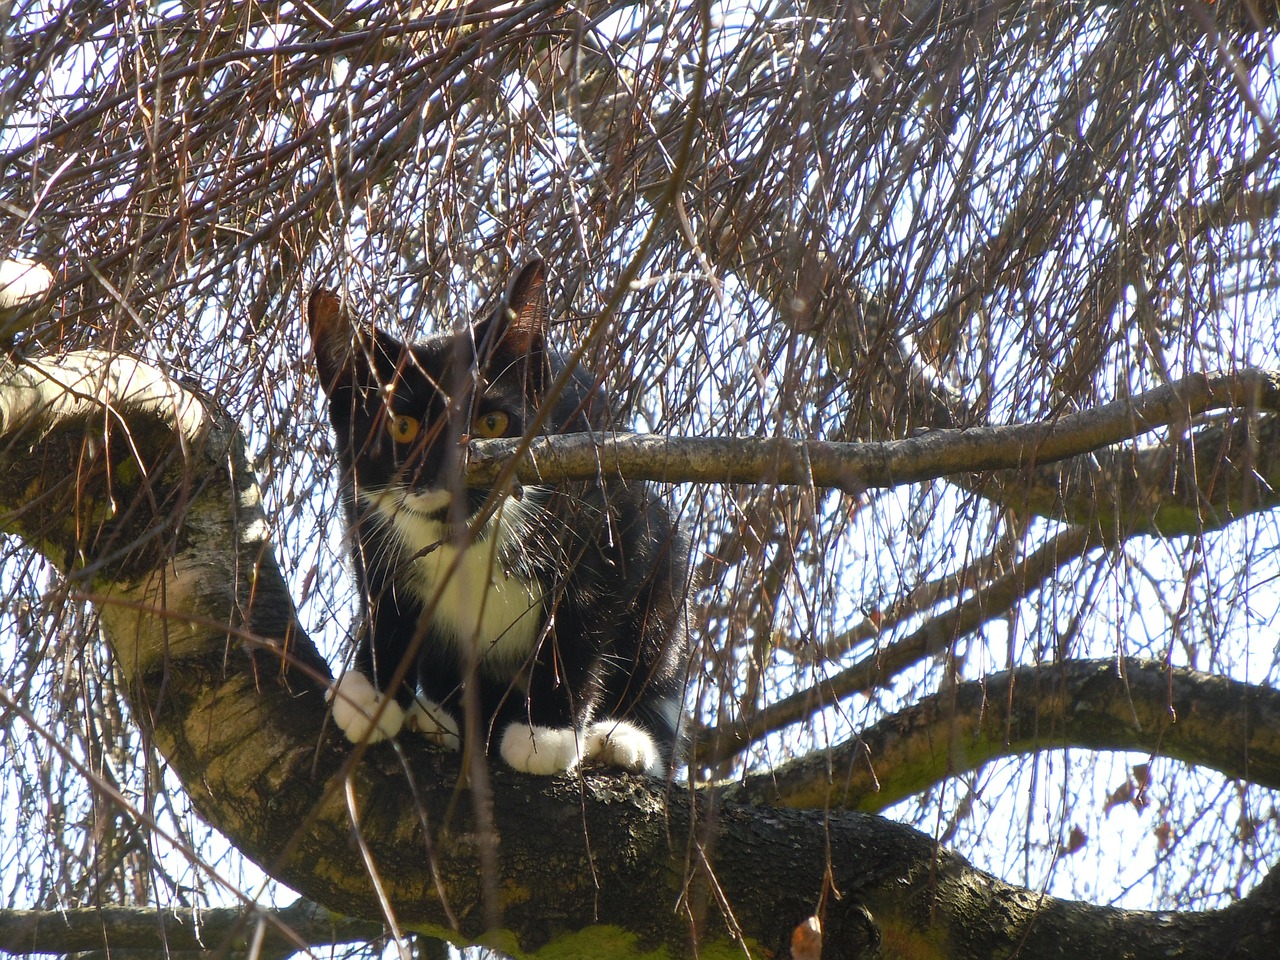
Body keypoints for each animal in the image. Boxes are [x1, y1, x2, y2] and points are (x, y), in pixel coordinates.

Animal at [307, 261, 691, 773]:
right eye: (402, 428)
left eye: (492, 424)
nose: (453, 471)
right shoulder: (363, 513)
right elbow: (383, 594)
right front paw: (372, 691)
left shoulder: (607, 511)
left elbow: (581, 621)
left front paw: (546, 732)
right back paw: (440, 716)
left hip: (663, 568)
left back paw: (624, 739)